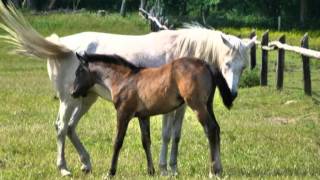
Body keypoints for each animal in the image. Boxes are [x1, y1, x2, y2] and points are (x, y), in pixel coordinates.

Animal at [71, 53, 234, 177]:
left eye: (79, 72)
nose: (73, 93)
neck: (123, 79)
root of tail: (207, 65)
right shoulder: (143, 116)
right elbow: (146, 141)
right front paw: (151, 171)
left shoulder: (123, 113)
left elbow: (117, 142)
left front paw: (110, 172)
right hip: (208, 105)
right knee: (217, 129)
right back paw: (220, 169)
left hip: (197, 106)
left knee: (210, 129)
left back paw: (213, 171)